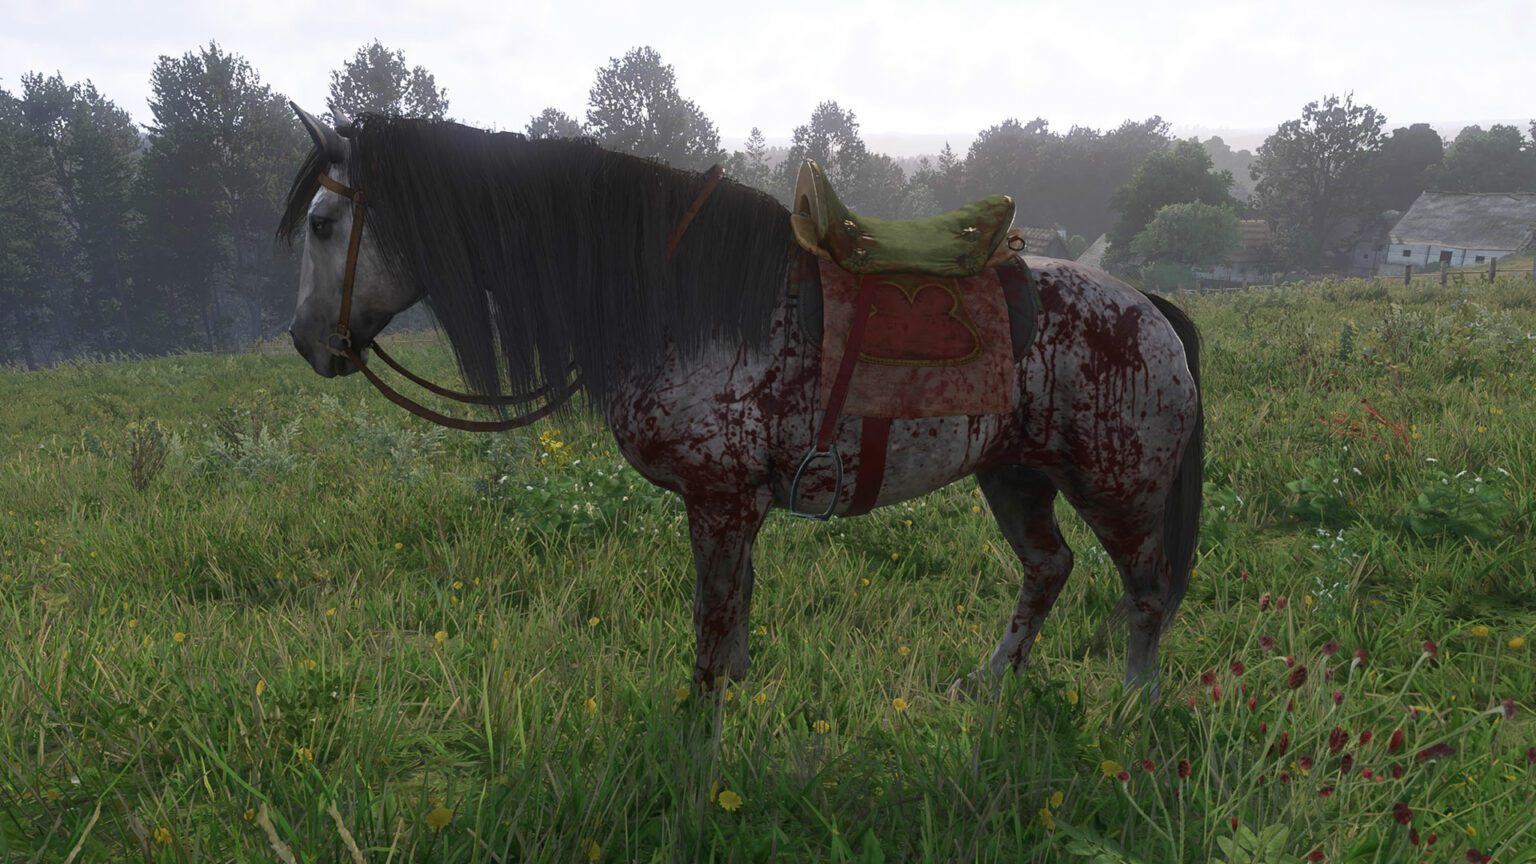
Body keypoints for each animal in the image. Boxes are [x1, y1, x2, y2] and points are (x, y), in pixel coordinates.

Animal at [278, 105, 1204, 698]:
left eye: (323, 223)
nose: (305, 341)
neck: (683, 300)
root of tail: (1151, 308)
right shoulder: (733, 507)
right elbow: (733, 631)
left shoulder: (718, 503)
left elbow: (710, 634)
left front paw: (699, 751)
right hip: (1014, 476)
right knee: (1048, 571)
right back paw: (988, 684)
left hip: (1118, 488)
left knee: (1147, 592)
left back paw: (1132, 709)